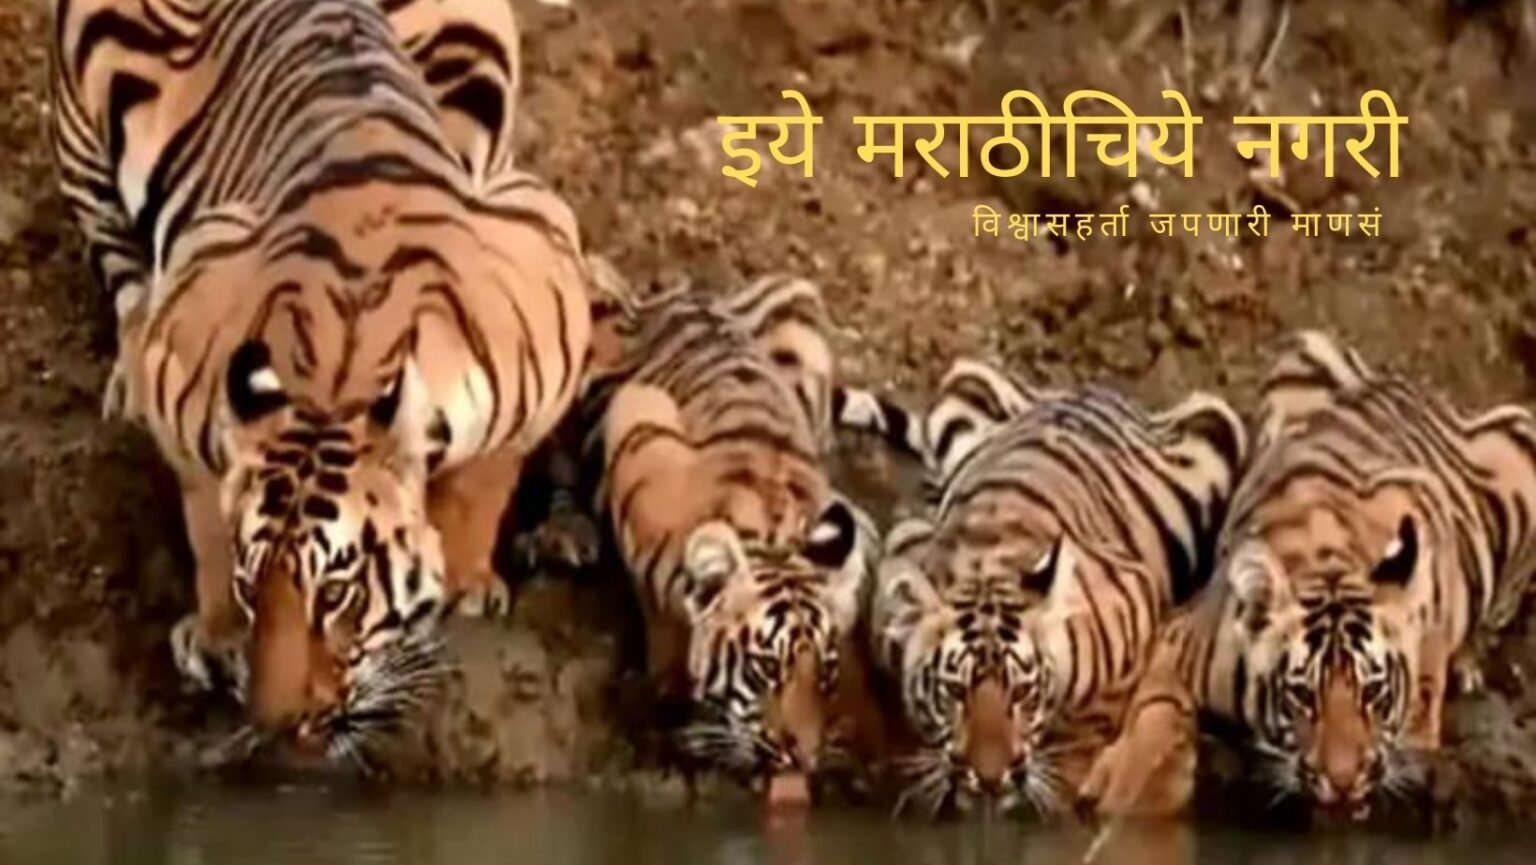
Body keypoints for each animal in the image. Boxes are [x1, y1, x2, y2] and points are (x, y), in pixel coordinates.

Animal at [50, 0, 591, 766]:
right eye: (252, 586)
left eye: (337, 594)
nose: (278, 724)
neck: (339, 371)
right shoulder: (185, 335)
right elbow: (205, 515)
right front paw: (217, 636)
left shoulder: (549, 291)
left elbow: (486, 479)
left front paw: (464, 580)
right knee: (120, 263)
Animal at [865, 358, 1247, 818]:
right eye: (955, 692)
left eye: (1021, 692)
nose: (989, 778)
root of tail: (1088, 389)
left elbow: (1092, 727)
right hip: (965, 381)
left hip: (1217, 424)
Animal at [1081, 331, 1536, 821]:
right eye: (1302, 696)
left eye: (1372, 692)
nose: (1343, 781)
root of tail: (1416, 384)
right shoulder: (1179, 640)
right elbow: (1154, 713)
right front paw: (1120, 787)